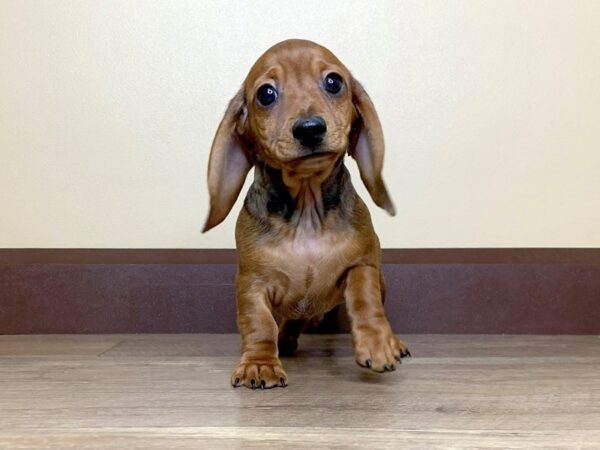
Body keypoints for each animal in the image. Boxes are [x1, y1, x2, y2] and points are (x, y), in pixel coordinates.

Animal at [204, 39, 410, 390]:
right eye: (266, 94)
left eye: (334, 82)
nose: (310, 129)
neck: (306, 211)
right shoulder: (251, 283)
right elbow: (259, 323)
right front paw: (259, 364)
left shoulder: (362, 264)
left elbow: (364, 298)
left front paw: (377, 344)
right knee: (290, 321)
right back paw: (285, 340)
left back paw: (393, 343)